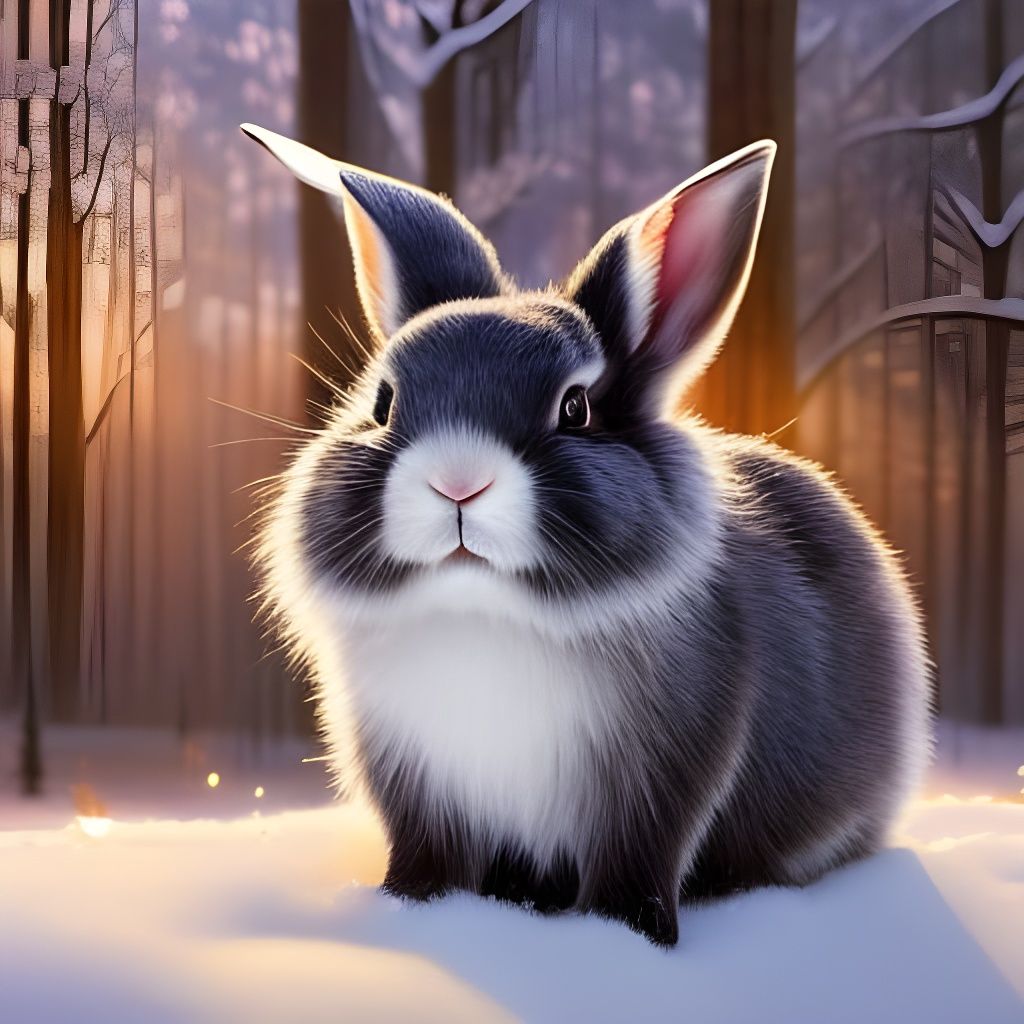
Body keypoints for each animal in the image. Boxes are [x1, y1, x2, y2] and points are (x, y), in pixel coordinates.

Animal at [242, 122, 932, 948]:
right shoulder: (416, 783)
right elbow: (428, 858)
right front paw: (409, 911)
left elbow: (638, 859)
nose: (457, 482)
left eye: (576, 409)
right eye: (383, 403)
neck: (486, 612)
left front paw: (624, 937)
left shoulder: (662, 774)